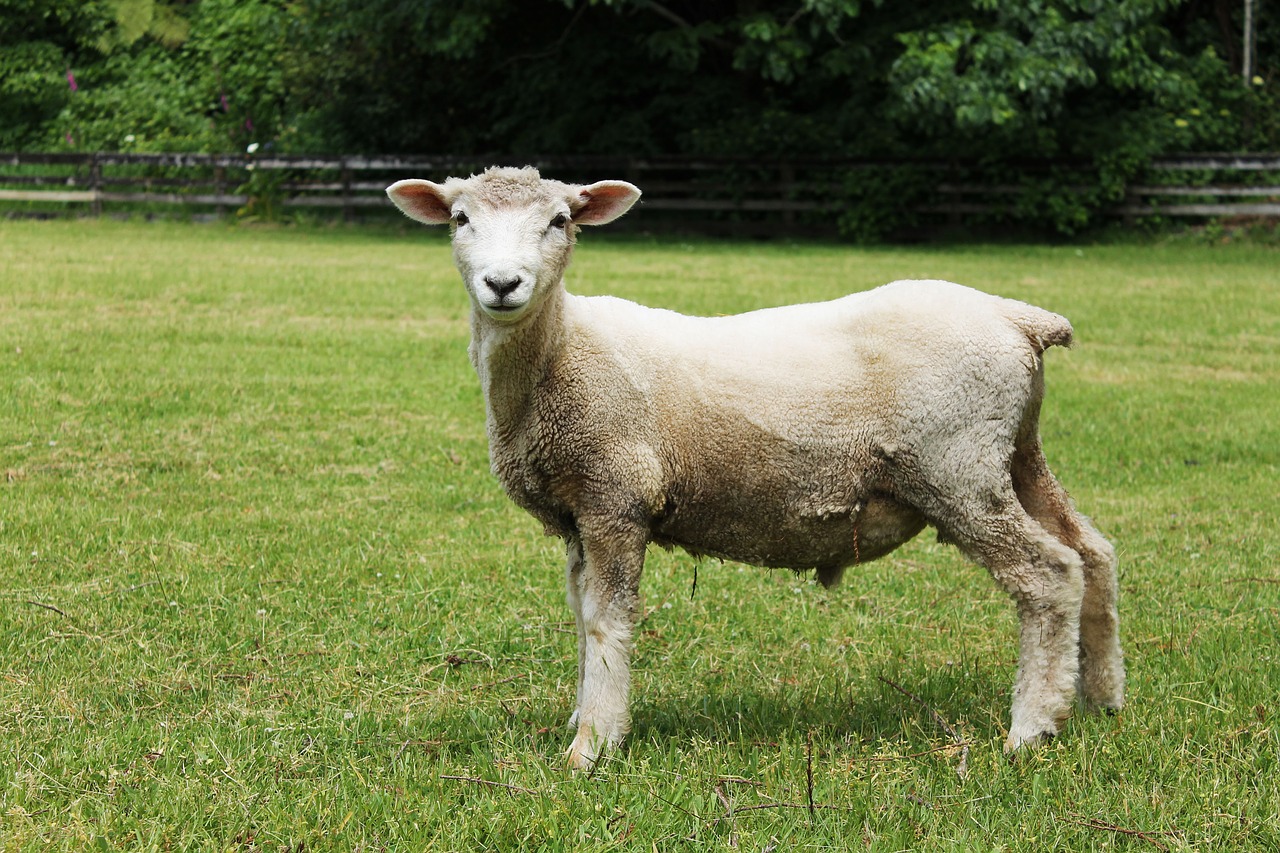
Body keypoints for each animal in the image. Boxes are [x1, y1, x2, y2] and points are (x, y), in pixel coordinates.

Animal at [384, 162, 1126, 768]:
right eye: (460, 218)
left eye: (559, 220)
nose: (502, 284)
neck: (561, 353)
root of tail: (1017, 318)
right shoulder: (576, 512)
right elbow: (579, 612)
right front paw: (581, 717)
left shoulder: (616, 495)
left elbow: (606, 618)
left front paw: (592, 746)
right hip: (1014, 453)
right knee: (1092, 550)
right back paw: (1101, 697)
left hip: (957, 465)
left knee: (1048, 572)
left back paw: (1031, 727)